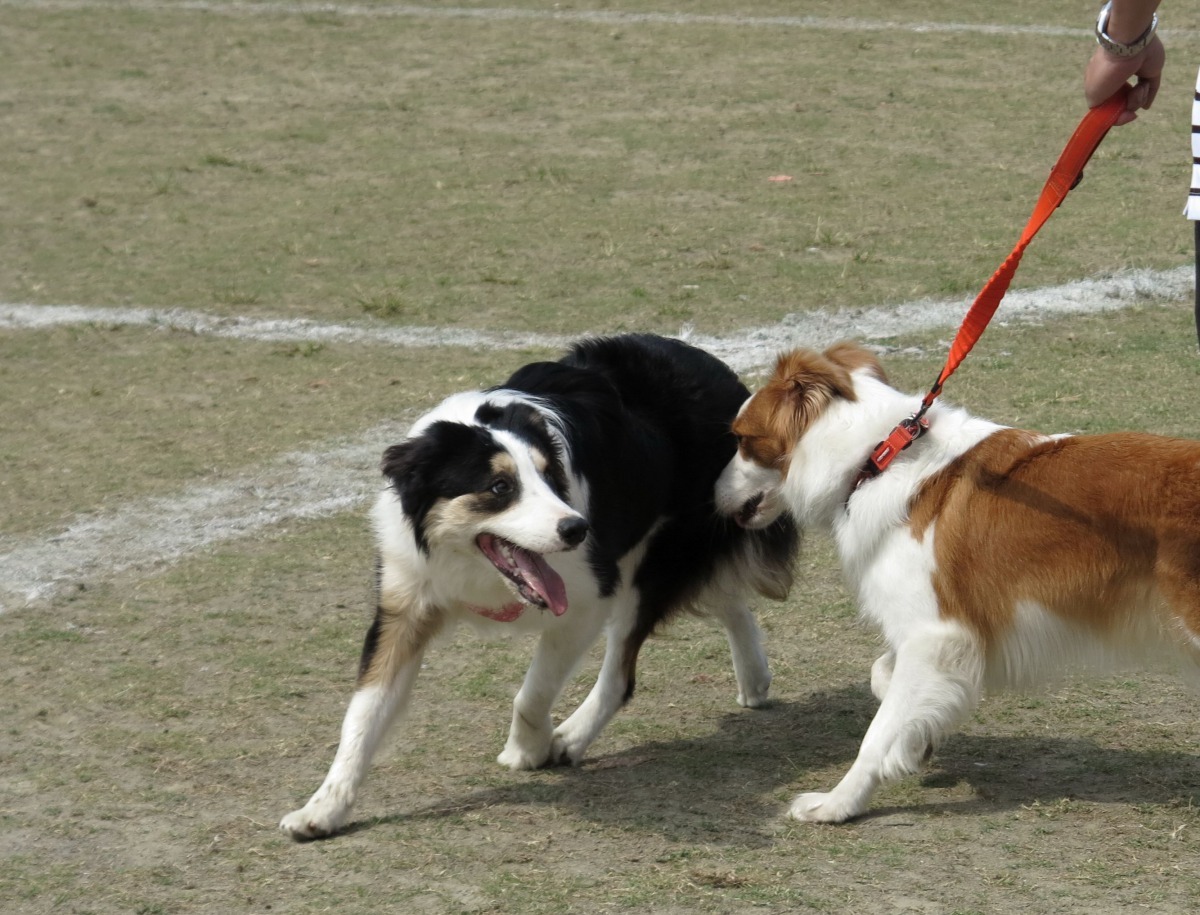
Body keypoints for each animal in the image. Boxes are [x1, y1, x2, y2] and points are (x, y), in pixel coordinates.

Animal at [280, 331, 796, 835]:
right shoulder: (404, 604)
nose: (577, 530)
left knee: (622, 673)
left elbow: (532, 692)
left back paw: (572, 735)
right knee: (726, 597)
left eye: (551, 477)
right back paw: (754, 677)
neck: (469, 563)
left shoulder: (588, 599)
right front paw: (323, 808)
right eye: (500, 488)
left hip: (654, 562)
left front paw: (529, 748)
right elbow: (363, 713)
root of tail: (721, 375)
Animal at [715, 341, 1195, 821]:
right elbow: (884, 677)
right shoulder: (938, 634)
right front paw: (915, 743)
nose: (710, 493)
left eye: (741, 439)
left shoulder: (937, 635)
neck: (878, 456)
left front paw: (839, 802)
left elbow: (876, 732)